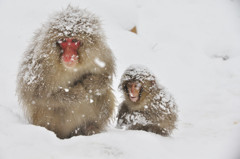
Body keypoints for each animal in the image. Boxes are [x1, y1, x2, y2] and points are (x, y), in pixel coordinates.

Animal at [16, 5, 116, 139]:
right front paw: (76, 93)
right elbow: (35, 94)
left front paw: (92, 83)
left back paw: (90, 128)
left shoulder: (100, 54)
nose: (69, 55)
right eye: (63, 40)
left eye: (74, 41)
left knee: (104, 94)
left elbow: (106, 76)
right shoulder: (41, 66)